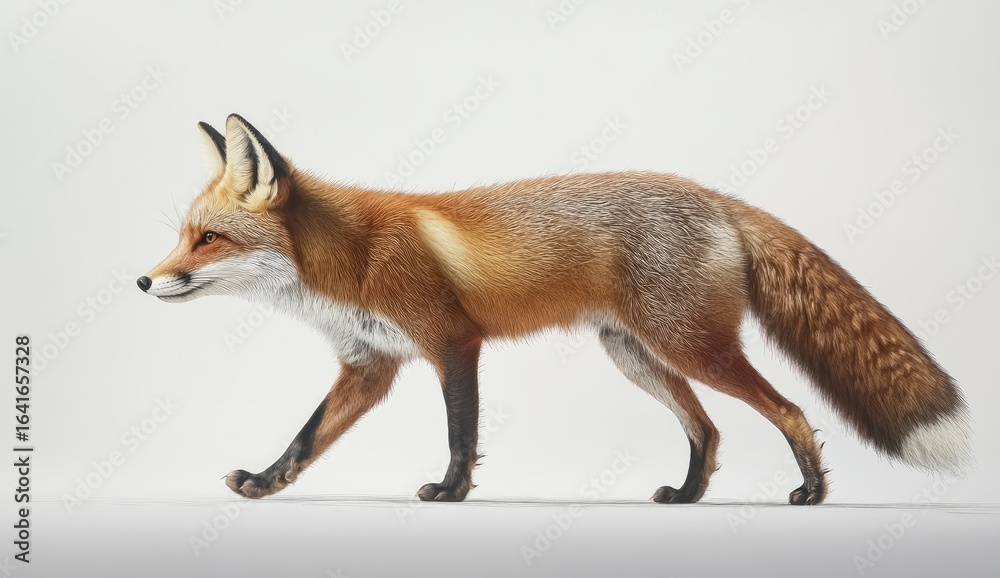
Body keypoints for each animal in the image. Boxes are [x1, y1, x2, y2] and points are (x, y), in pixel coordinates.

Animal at [139, 114, 972, 505]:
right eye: (182, 236)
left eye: (208, 239)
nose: (144, 283)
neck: (350, 260)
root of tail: (716, 197)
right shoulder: (369, 366)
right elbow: (306, 438)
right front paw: (264, 483)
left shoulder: (451, 342)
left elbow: (461, 433)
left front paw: (450, 493)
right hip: (636, 355)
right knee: (707, 428)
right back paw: (688, 496)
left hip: (691, 346)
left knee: (791, 411)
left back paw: (811, 493)